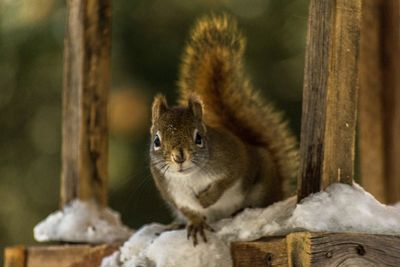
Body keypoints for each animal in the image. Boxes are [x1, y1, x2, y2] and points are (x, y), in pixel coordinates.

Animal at [148, 13, 298, 246]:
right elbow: (188, 209)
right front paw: (196, 222)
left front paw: (208, 198)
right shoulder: (172, 192)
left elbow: (227, 180)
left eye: (199, 138)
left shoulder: (235, 159)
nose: (179, 157)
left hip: (263, 184)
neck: (190, 176)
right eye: (157, 141)